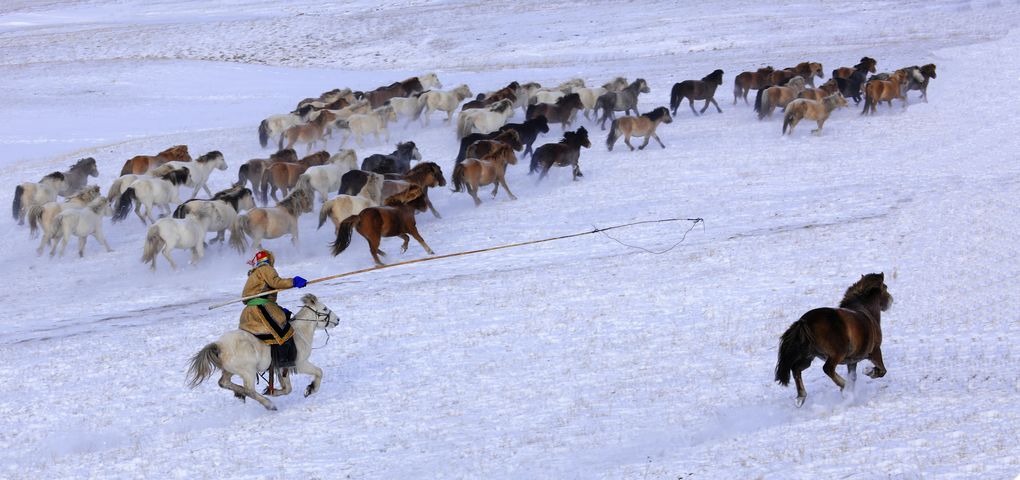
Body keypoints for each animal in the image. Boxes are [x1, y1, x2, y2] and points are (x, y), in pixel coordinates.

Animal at [187, 295, 338, 411]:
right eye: (324, 308)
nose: (338, 319)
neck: (300, 333)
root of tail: (220, 345)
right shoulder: (299, 364)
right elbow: (319, 372)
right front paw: (311, 389)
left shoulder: (282, 368)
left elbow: (287, 389)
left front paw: (272, 391)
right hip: (248, 372)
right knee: (249, 390)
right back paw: (268, 404)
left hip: (230, 371)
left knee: (224, 382)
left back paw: (240, 393)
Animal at [771, 275, 893, 405]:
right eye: (885, 287)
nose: (891, 300)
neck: (867, 312)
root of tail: (804, 322)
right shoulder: (875, 351)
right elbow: (882, 371)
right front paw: (868, 372)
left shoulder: (852, 361)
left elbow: (853, 377)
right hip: (837, 354)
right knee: (827, 368)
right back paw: (843, 386)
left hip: (809, 356)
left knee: (796, 369)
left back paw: (801, 397)